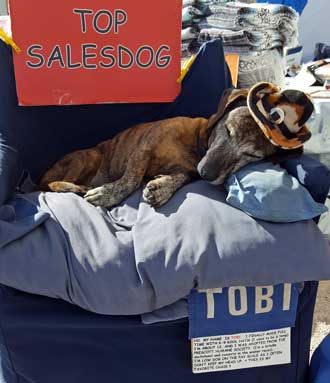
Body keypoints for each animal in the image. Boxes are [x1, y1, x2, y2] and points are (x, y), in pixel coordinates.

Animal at [38, 89, 282, 208]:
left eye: (251, 155)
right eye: (229, 130)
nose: (207, 174)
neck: (196, 145)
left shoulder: (188, 170)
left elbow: (182, 176)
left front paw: (161, 188)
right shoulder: (143, 147)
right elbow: (131, 179)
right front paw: (108, 194)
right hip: (88, 157)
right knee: (49, 184)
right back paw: (71, 186)